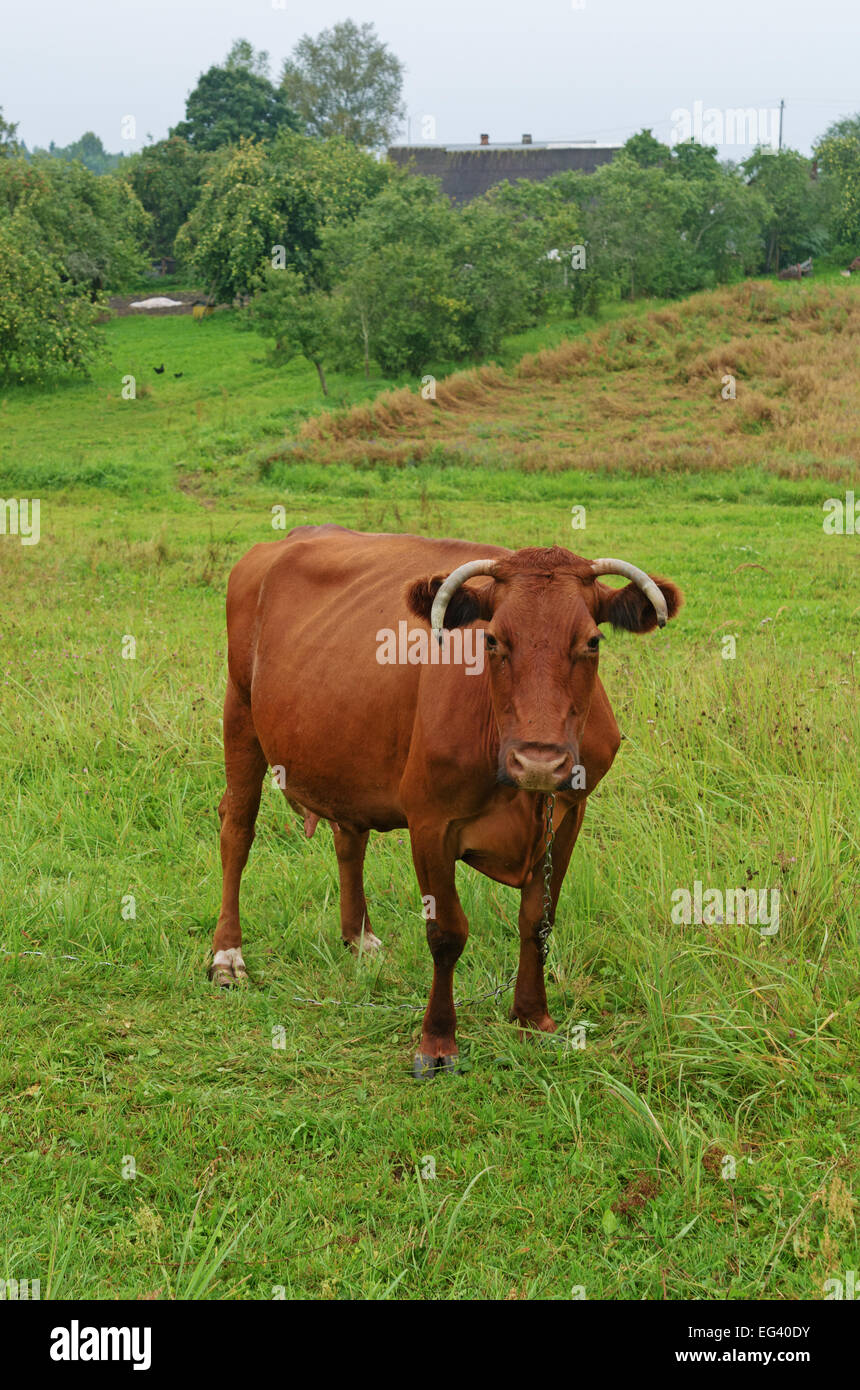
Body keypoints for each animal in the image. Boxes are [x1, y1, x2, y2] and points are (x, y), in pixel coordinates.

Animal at [210, 526, 682, 1076]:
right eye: (493, 639)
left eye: (592, 641)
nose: (539, 762)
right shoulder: (430, 821)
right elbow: (447, 934)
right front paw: (437, 1042)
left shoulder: (568, 815)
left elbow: (538, 920)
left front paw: (531, 1017)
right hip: (239, 711)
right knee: (237, 830)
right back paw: (227, 957)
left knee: (348, 838)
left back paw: (359, 938)